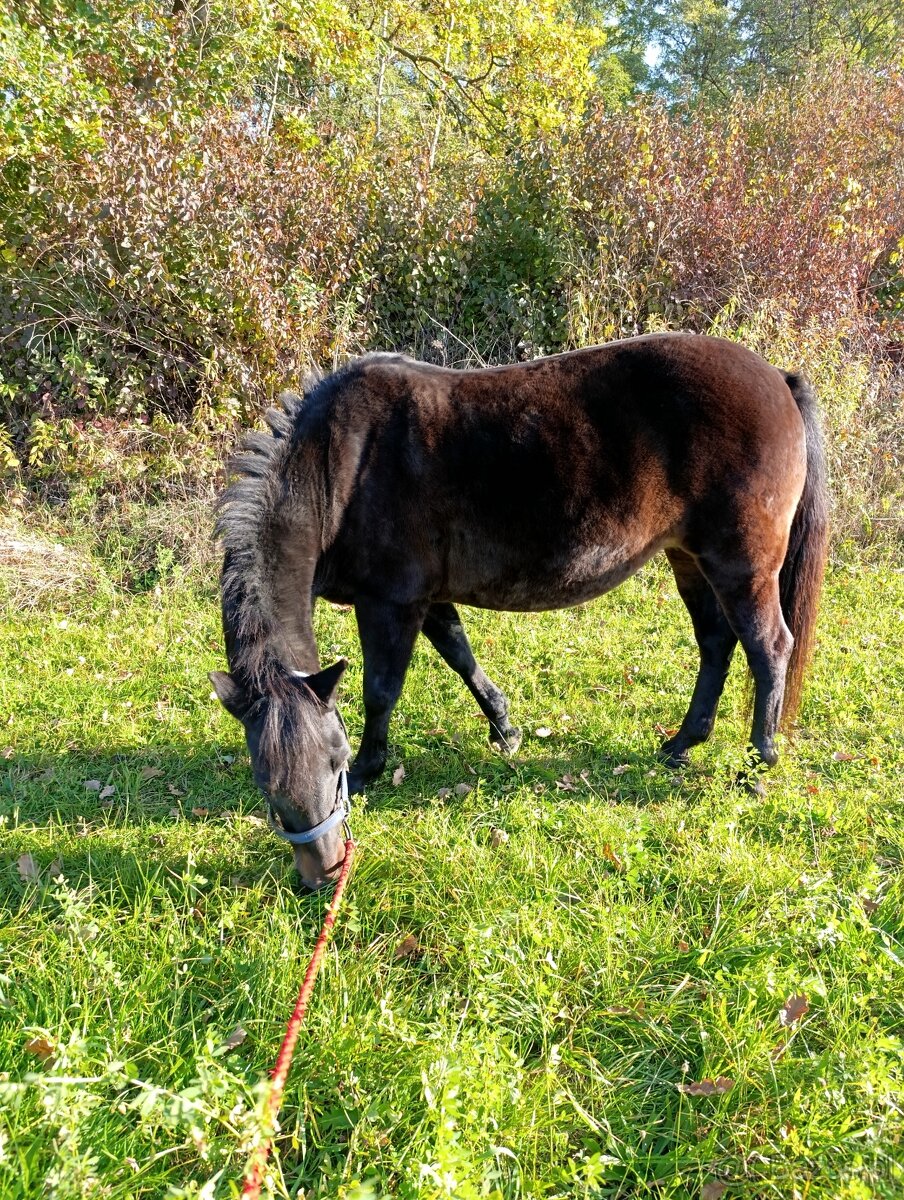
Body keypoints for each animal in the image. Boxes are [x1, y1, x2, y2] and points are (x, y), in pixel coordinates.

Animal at [207, 333, 830, 888]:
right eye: (264, 782)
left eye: (333, 761)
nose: (323, 873)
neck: (339, 466)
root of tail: (777, 378)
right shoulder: (427, 600)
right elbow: (461, 656)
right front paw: (505, 729)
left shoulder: (390, 603)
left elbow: (381, 689)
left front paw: (371, 768)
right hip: (689, 558)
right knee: (716, 644)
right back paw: (681, 745)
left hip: (741, 566)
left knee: (769, 648)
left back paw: (757, 764)